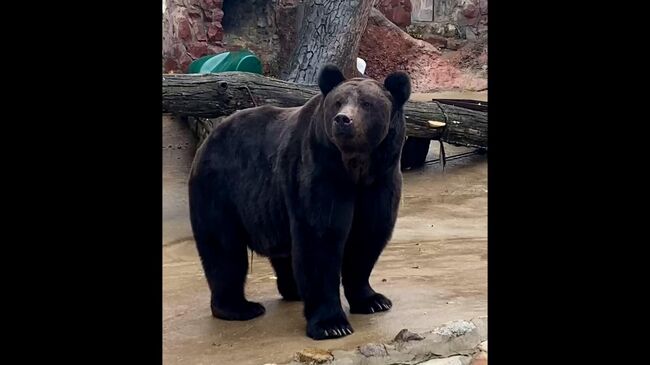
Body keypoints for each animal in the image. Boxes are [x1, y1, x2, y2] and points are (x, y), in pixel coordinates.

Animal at [189, 63, 410, 338]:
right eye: (338, 102)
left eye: (367, 103)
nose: (343, 120)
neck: (355, 168)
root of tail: (207, 140)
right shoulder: (320, 173)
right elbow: (320, 239)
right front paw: (331, 324)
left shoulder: (379, 181)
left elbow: (367, 236)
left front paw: (373, 300)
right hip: (220, 189)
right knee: (223, 249)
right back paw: (239, 307)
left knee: (281, 252)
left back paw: (292, 291)